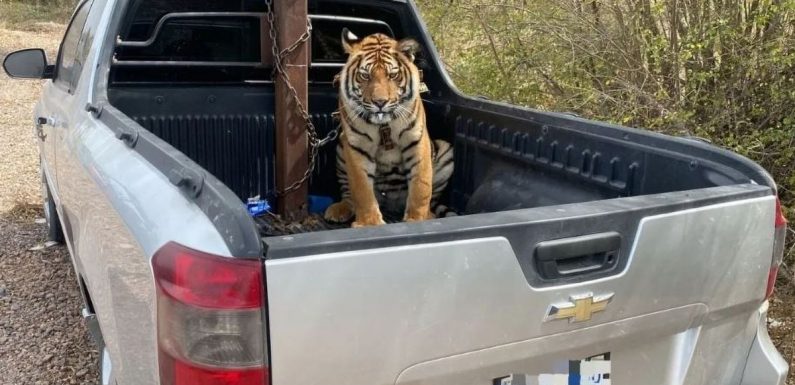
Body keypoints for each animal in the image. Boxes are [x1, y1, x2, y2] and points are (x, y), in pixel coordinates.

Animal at [324, 30, 454, 228]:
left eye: (393, 75)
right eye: (365, 76)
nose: (380, 102)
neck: (383, 125)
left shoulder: (417, 141)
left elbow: (421, 187)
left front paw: (417, 220)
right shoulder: (356, 147)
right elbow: (361, 190)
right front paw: (369, 223)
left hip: (445, 150)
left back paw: (430, 215)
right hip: (341, 146)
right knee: (348, 194)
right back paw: (339, 210)